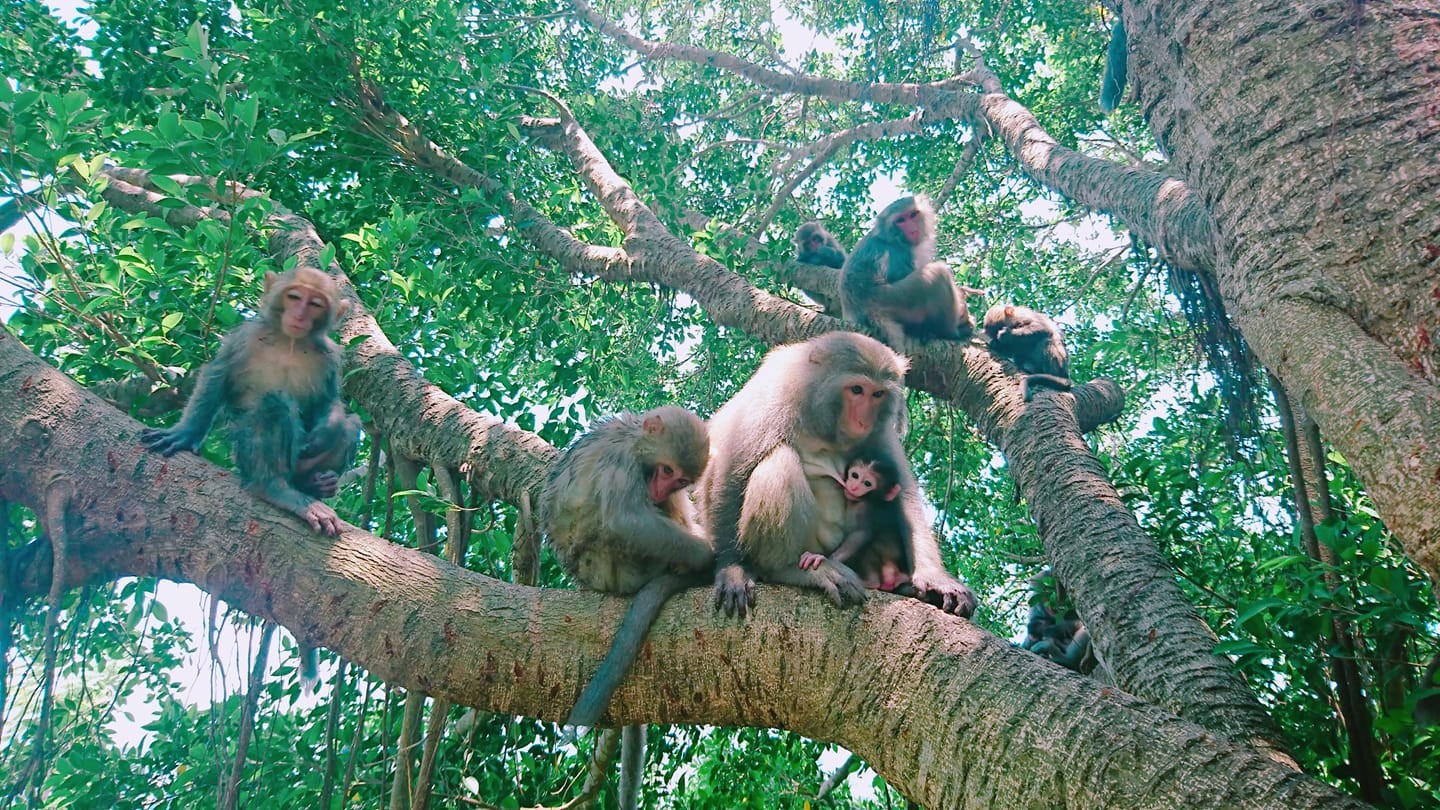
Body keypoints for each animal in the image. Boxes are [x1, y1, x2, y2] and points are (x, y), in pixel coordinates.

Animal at [138, 263, 358, 536]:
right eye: (294, 297)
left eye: (315, 304)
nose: (299, 316)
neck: (289, 342)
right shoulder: (245, 337)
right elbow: (217, 376)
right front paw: (184, 434)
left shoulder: (329, 355)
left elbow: (327, 400)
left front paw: (329, 429)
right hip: (243, 452)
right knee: (273, 405)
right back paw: (275, 488)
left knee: (352, 425)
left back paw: (312, 483)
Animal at [541, 403, 714, 726]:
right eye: (668, 470)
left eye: (680, 480)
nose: (661, 489)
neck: (634, 437)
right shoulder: (622, 459)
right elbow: (626, 520)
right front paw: (707, 555)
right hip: (616, 566)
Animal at [800, 438, 910, 590]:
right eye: (855, 475)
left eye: (867, 483)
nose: (854, 486)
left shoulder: (865, 508)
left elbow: (860, 535)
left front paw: (824, 558)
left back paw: (869, 581)